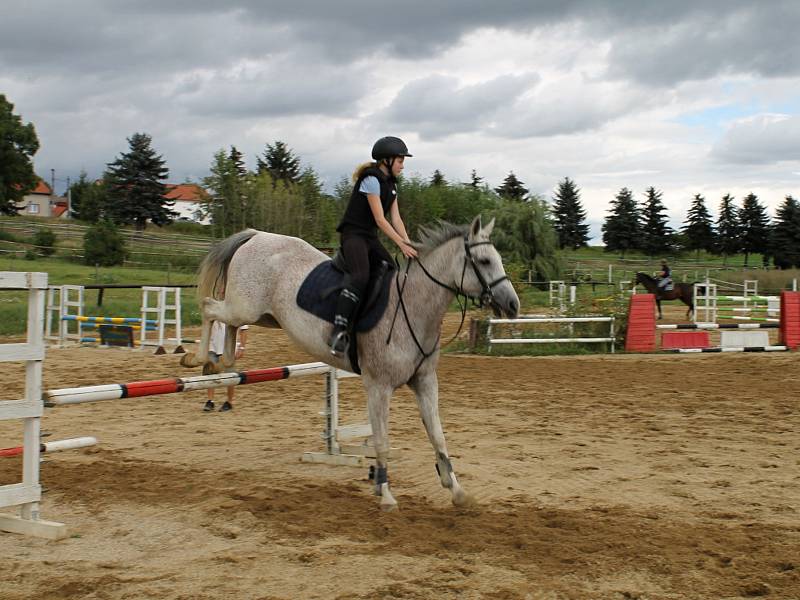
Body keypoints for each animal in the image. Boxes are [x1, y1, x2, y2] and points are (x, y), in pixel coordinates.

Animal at [180, 217, 520, 510]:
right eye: (485, 261)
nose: (513, 304)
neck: (413, 305)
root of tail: (257, 235)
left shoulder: (424, 382)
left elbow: (438, 435)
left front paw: (457, 491)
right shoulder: (379, 387)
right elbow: (382, 443)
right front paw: (385, 494)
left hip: (261, 316)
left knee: (228, 328)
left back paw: (220, 362)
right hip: (245, 306)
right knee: (210, 307)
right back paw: (196, 358)